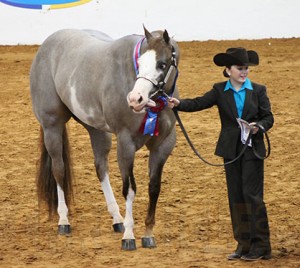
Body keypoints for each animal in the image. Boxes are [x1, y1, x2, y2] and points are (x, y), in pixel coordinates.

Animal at [29, 26, 180, 250]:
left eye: (162, 64)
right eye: (140, 62)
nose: (135, 99)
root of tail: (46, 45)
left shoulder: (163, 146)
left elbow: (154, 188)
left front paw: (148, 234)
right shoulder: (125, 143)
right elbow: (130, 189)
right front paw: (129, 236)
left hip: (96, 129)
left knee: (101, 168)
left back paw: (117, 219)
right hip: (52, 126)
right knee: (59, 169)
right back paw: (64, 221)